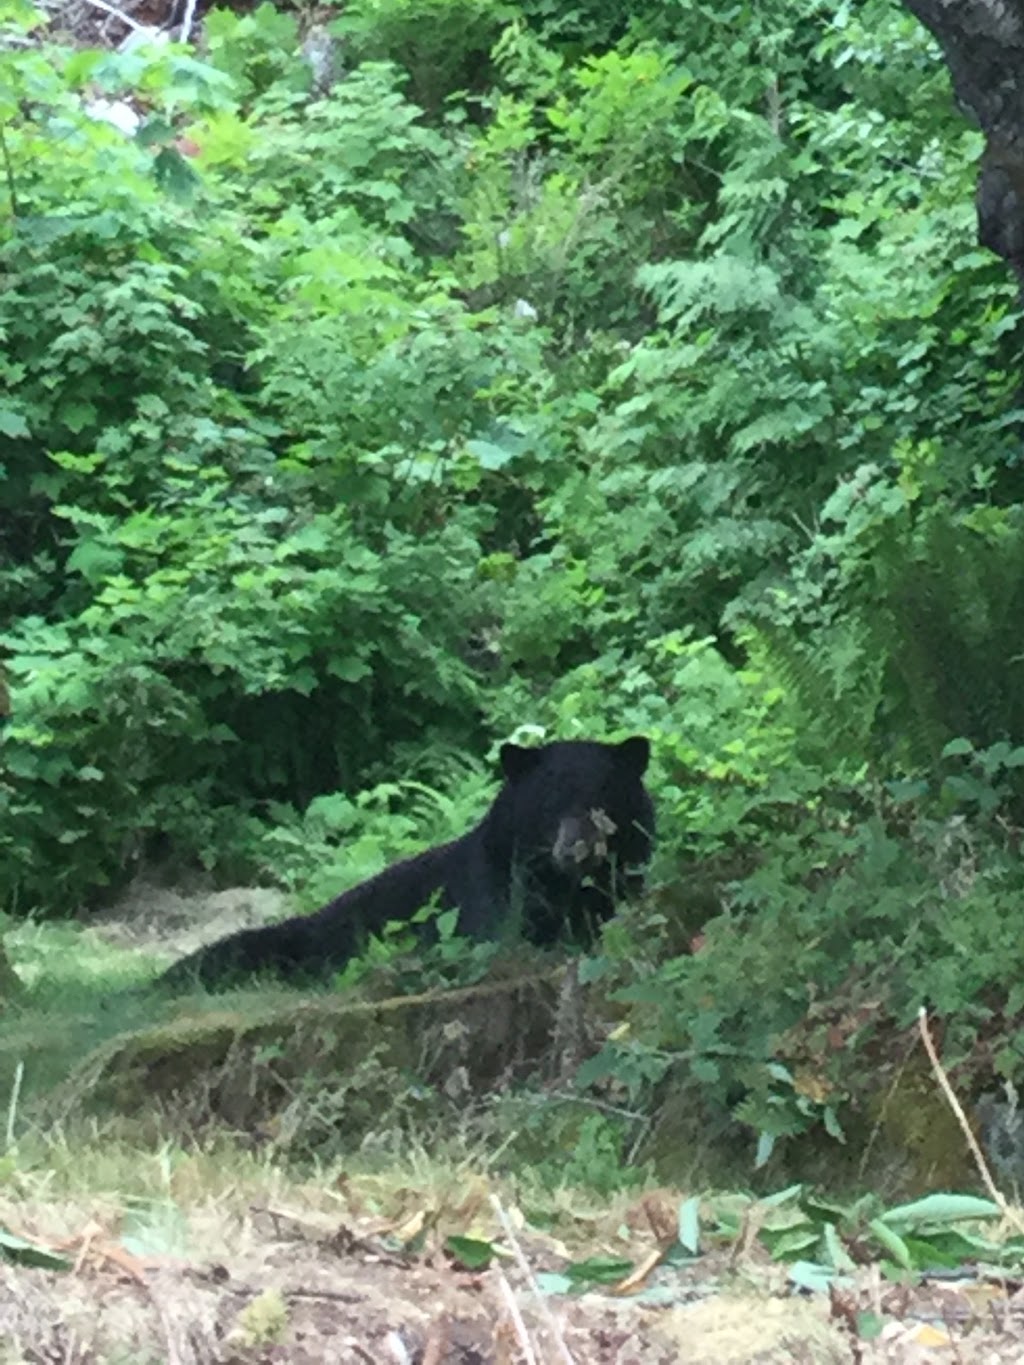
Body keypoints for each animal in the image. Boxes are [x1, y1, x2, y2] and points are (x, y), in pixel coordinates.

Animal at [160, 737, 658, 993]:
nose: (577, 847)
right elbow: (505, 932)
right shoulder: (495, 888)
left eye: (603, 790)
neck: (568, 883)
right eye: (550, 797)